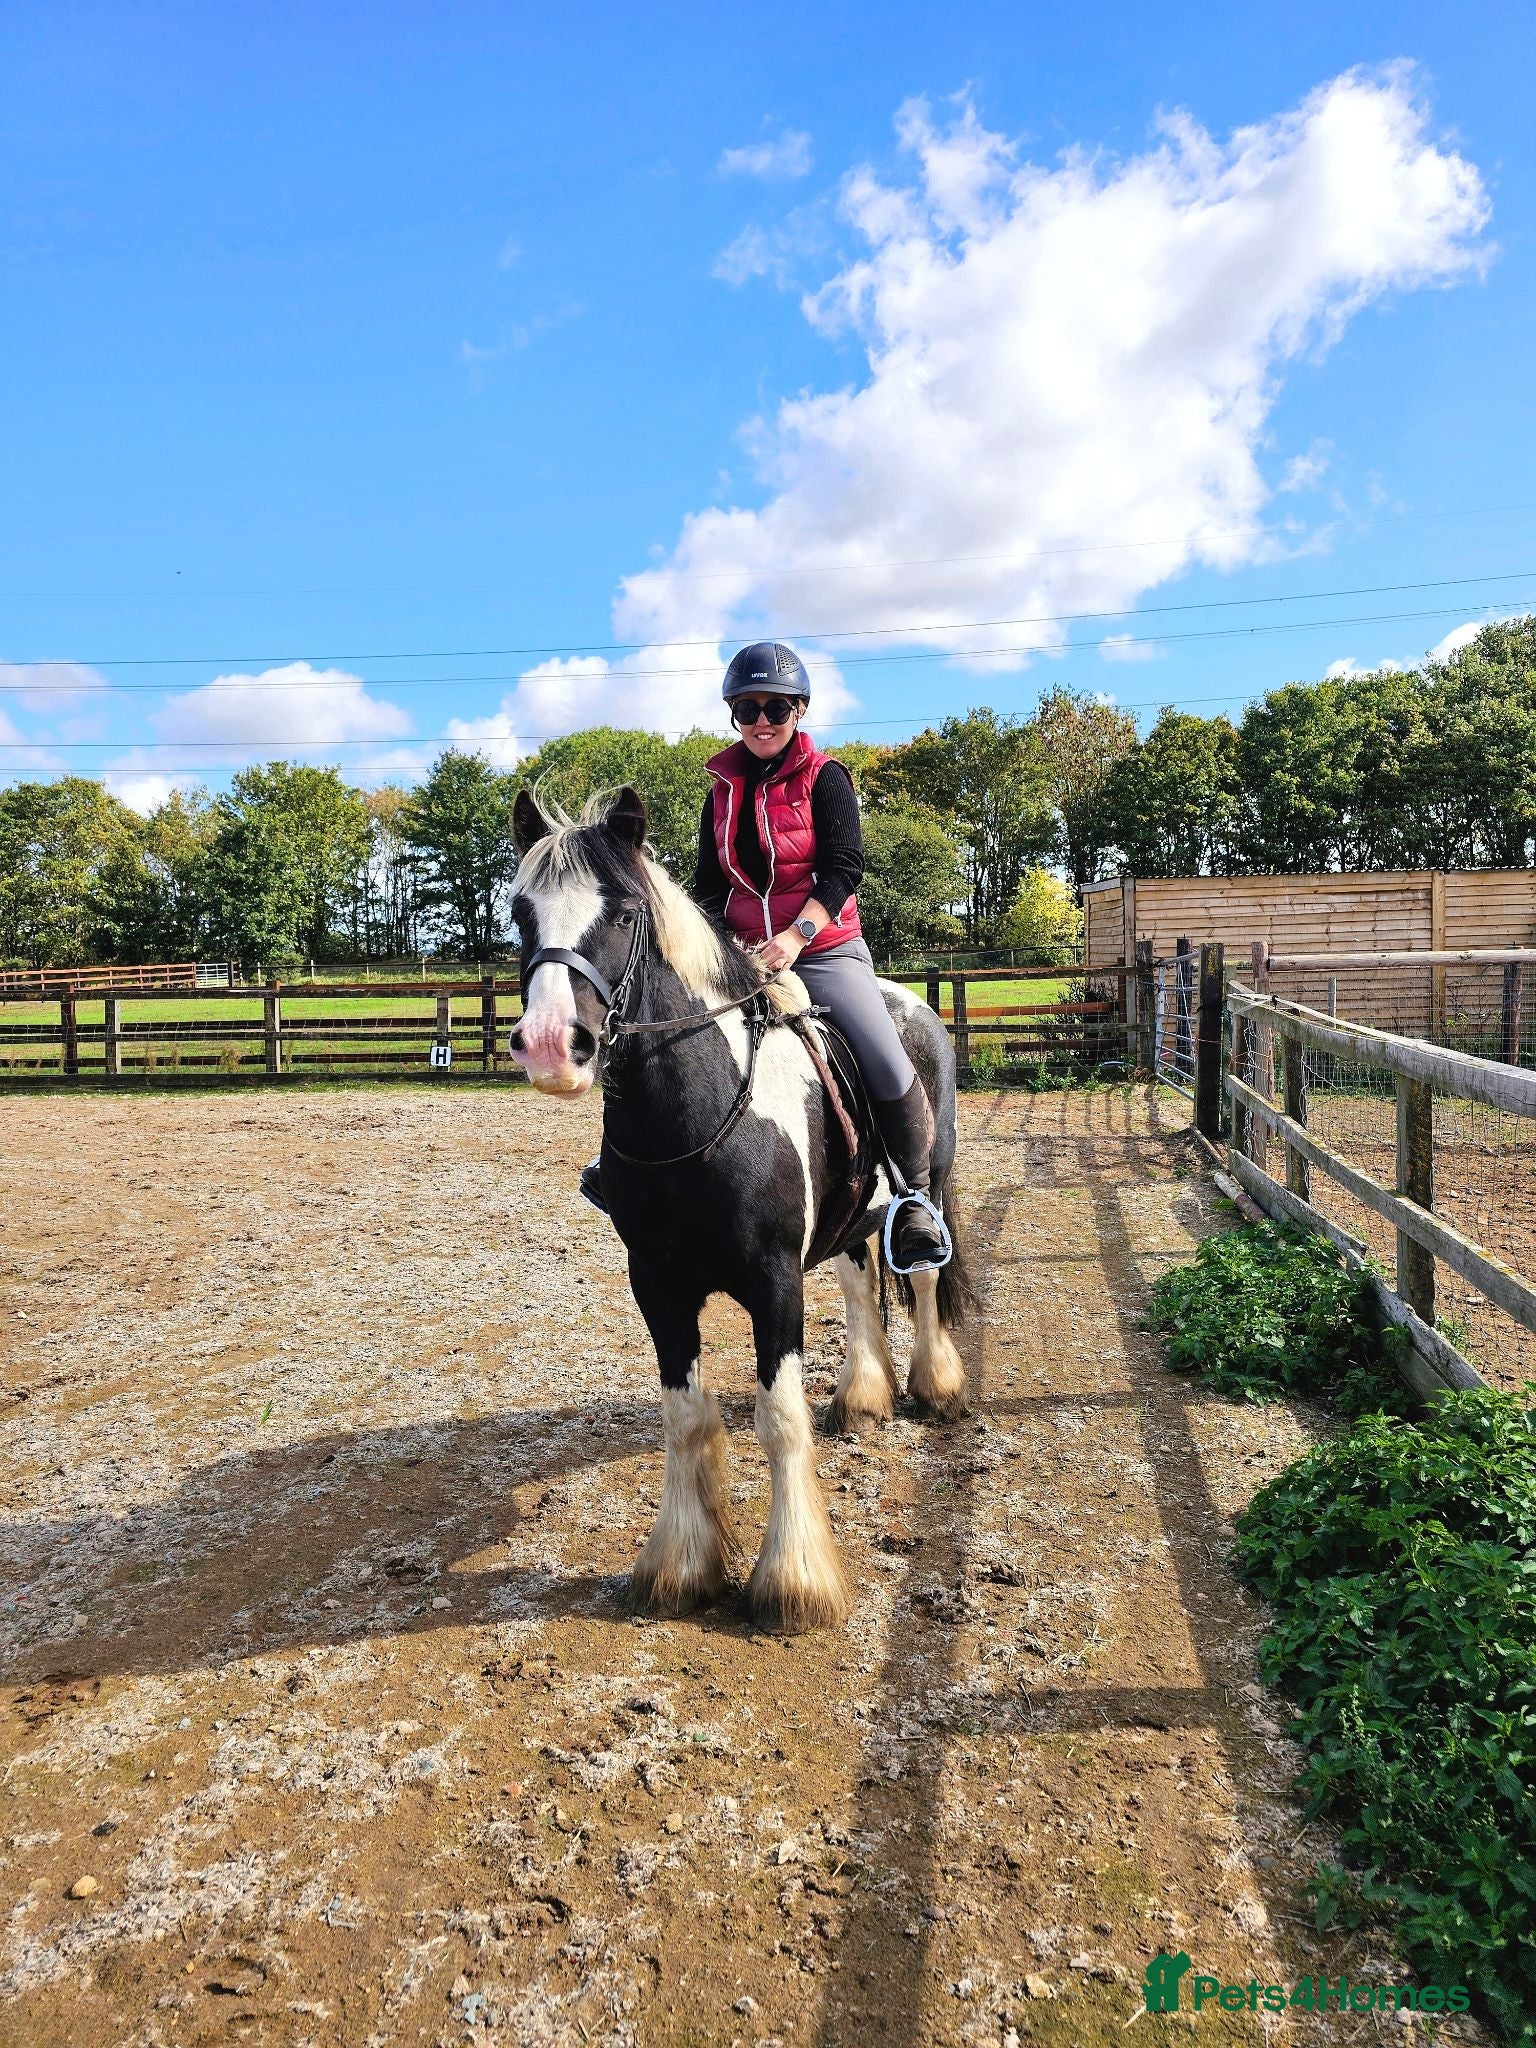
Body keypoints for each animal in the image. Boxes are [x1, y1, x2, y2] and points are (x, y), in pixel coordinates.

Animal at [507, 784, 977, 1632]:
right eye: (523, 912)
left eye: (625, 912)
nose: (556, 1044)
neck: (698, 1119)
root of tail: (912, 1008)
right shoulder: (657, 1285)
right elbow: (686, 1417)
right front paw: (680, 1566)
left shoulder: (773, 1282)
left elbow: (779, 1418)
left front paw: (794, 1581)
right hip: (851, 1218)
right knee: (860, 1283)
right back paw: (864, 1397)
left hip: (927, 1186)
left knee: (921, 1276)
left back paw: (936, 1385)